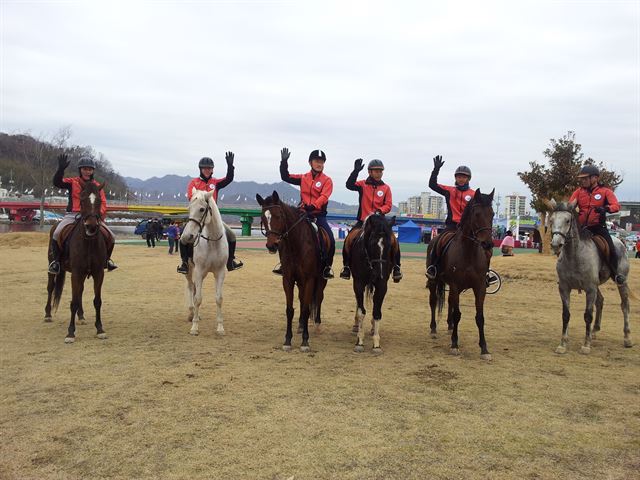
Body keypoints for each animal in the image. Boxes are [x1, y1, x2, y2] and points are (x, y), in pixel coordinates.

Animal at [44, 179, 110, 342]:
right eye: (82, 199)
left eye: (99, 201)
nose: (91, 226)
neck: (89, 241)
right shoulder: (76, 272)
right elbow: (73, 302)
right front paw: (70, 332)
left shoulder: (98, 273)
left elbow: (97, 301)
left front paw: (100, 329)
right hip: (52, 265)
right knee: (50, 287)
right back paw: (47, 314)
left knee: (80, 291)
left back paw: (81, 316)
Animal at [181, 189, 229, 336]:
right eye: (189, 208)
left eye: (202, 209)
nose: (186, 237)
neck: (212, 240)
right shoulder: (199, 271)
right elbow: (198, 298)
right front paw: (194, 327)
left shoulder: (220, 273)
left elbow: (219, 299)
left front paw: (220, 328)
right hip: (190, 270)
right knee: (191, 288)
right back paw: (192, 314)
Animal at [255, 191, 328, 352]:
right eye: (263, 218)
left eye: (278, 216)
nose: (272, 245)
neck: (296, 244)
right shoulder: (288, 279)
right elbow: (290, 310)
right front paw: (287, 340)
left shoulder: (309, 279)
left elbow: (307, 309)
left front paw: (305, 341)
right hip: (299, 282)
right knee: (302, 299)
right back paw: (300, 325)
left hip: (321, 279)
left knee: (319, 298)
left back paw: (317, 325)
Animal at [428, 188, 498, 360]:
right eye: (477, 214)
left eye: (492, 213)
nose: (488, 244)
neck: (469, 252)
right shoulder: (455, 285)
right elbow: (458, 314)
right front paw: (454, 344)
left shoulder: (480, 287)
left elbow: (480, 317)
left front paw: (484, 348)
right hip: (435, 282)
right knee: (433, 301)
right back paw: (433, 328)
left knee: (450, 303)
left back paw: (449, 325)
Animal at [548, 199, 632, 352]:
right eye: (551, 220)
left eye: (567, 220)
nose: (556, 244)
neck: (575, 256)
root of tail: (620, 241)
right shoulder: (564, 288)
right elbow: (565, 315)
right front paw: (563, 344)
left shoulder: (590, 289)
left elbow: (588, 315)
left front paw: (586, 345)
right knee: (600, 301)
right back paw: (594, 331)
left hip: (621, 282)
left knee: (625, 305)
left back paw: (627, 337)